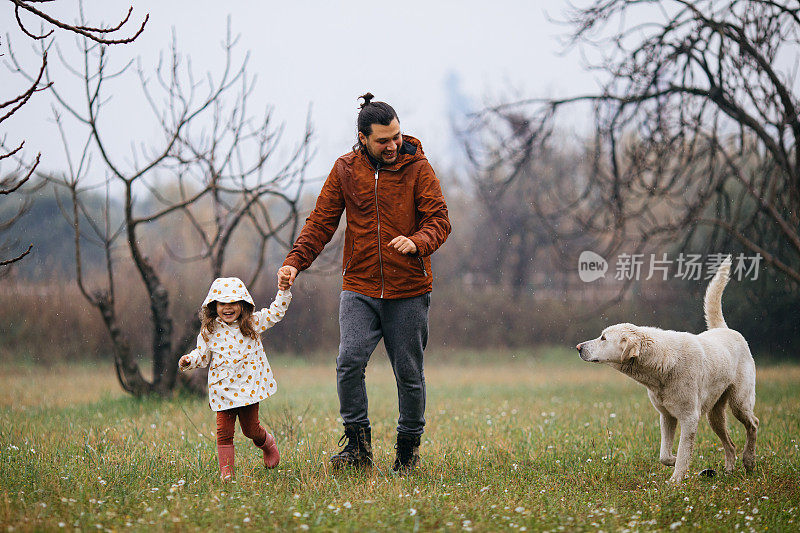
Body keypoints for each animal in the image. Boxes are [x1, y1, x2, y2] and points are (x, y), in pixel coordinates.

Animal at [576, 258, 756, 482]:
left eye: (603, 338)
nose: (578, 347)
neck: (663, 366)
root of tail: (724, 329)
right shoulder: (667, 416)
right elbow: (665, 455)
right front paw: (674, 462)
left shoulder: (689, 418)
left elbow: (683, 450)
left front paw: (676, 481)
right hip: (714, 415)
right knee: (730, 444)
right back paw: (730, 469)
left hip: (739, 403)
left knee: (753, 424)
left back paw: (749, 460)